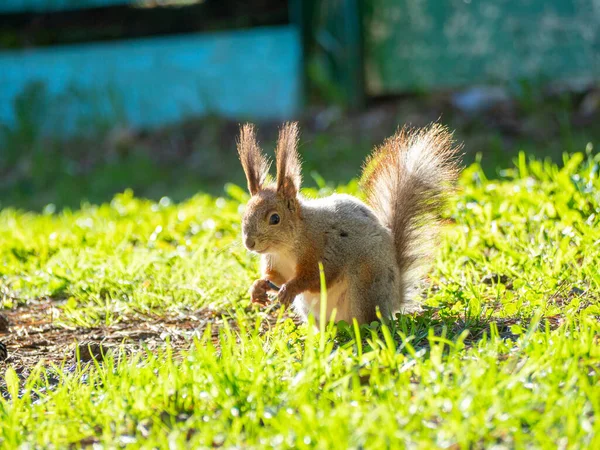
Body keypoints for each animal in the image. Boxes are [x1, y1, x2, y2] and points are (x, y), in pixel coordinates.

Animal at [237, 121, 462, 322]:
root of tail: (394, 300)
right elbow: (274, 277)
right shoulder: (275, 262)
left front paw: (289, 289)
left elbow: (315, 278)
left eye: (275, 218)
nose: (249, 243)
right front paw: (257, 287)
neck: (287, 246)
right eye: (245, 213)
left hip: (365, 286)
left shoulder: (324, 250)